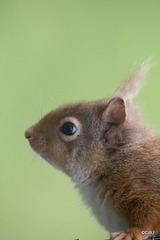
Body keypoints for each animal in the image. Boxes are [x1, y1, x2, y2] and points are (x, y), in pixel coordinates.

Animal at [24, 62, 160, 240]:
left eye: (69, 128)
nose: (28, 133)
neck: (116, 158)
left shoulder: (147, 183)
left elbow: (148, 216)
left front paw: (130, 232)